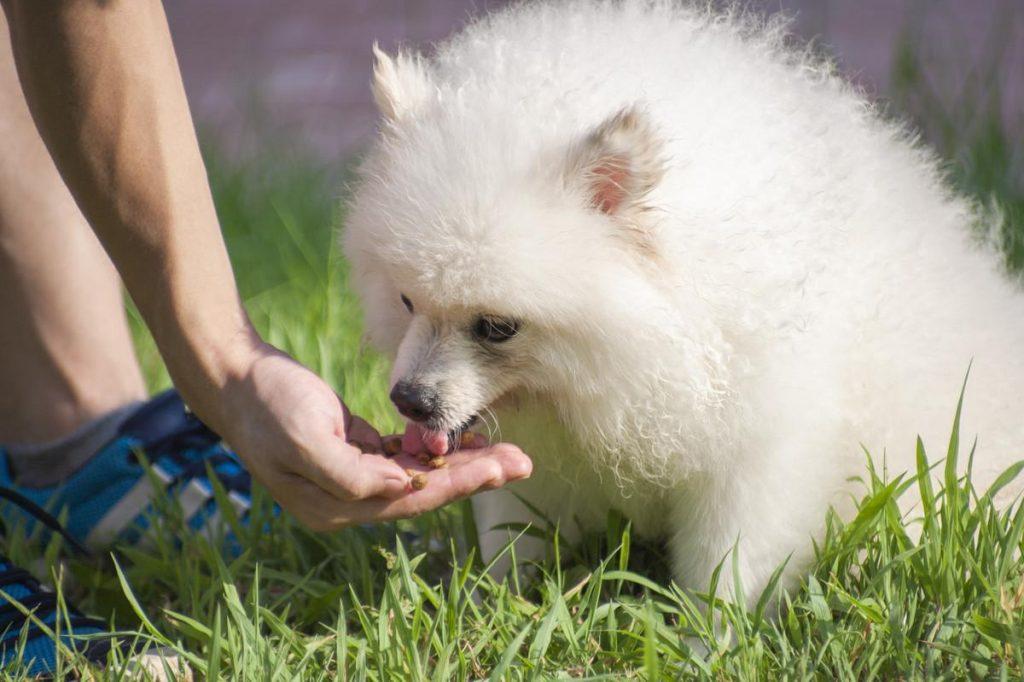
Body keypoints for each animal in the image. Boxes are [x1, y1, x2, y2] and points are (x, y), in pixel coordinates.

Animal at [344, 1, 1024, 602]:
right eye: (406, 300)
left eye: (496, 327)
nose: (409, 399)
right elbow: (514, 536)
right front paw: (491, 603)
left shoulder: (760, 448)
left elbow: (728, 569)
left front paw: (708, 643)